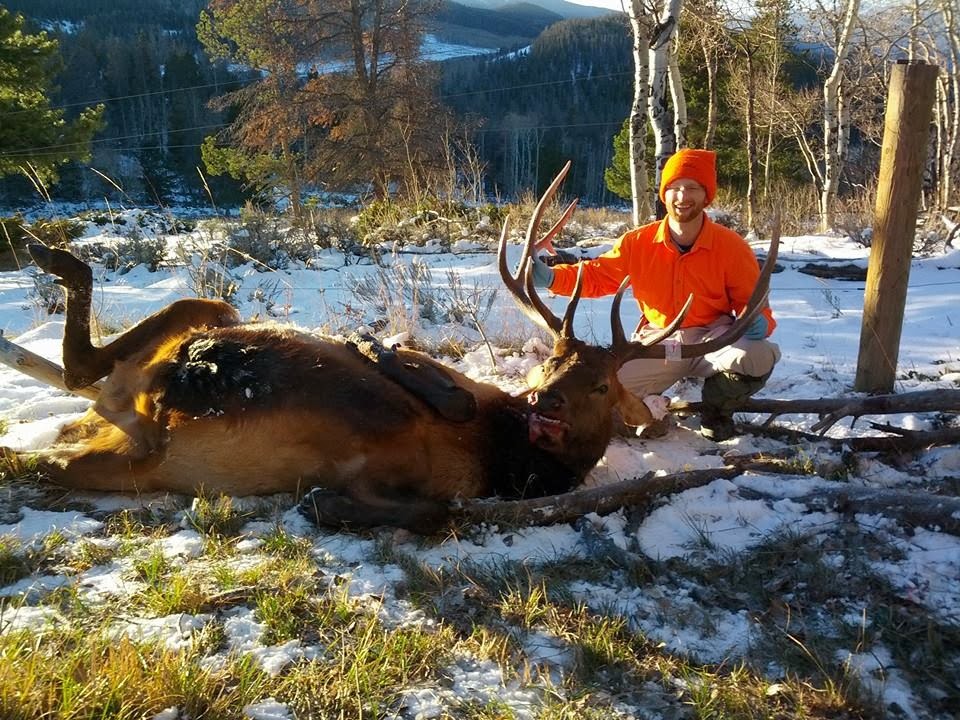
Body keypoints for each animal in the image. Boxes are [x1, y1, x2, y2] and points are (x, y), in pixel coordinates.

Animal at [3, 163, 777, 532]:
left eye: (598, 387)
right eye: (552, 360)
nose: (543, 404)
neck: (508, 458)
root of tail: (128, 406)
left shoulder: (422, 481)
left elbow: (424, 508)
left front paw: (321, 499)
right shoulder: (446, 389)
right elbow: (422, 378)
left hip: (135, 448)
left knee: (73, 400)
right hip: (173, 370)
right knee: (93, 366)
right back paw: (50, 254)